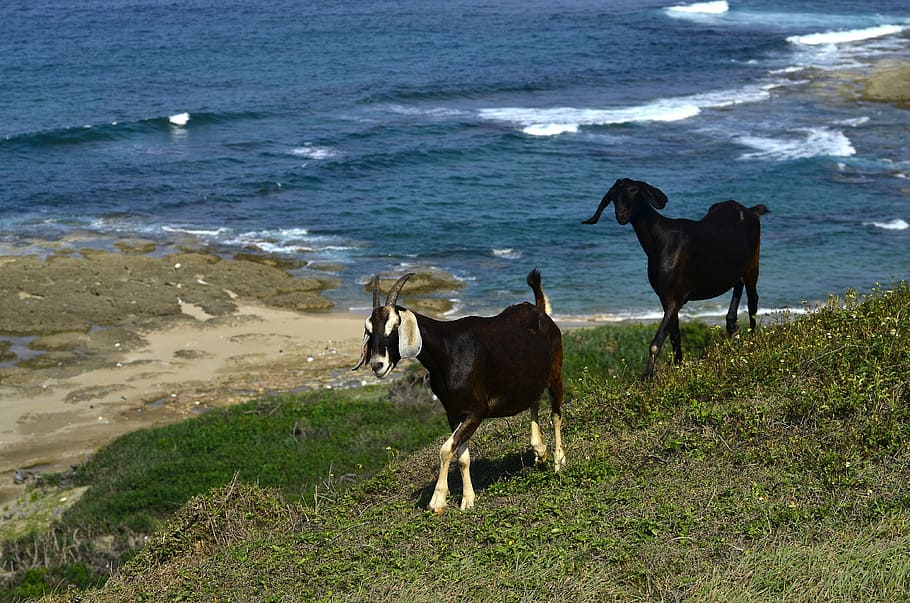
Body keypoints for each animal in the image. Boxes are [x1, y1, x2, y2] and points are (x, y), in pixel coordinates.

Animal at [353, 269, 565, 514]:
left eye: (395, 325)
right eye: (369, 330)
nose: (378, 365)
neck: (448, 352)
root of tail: (539, 311)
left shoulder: (476, 412)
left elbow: (446, 450)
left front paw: (437, 501)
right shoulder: (454, 414)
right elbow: (462, 457)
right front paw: (468, 499)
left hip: (555, 373)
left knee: (556, 414)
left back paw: (559, 461)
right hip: (530, 378)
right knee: (534, 402)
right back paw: (539, 451)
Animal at [582, 178, 769, 379]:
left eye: (635, 191)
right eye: (614, 195)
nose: (621, 214)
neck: (660, 242)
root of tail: (750, 211)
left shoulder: (675, 298)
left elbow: (656, 343)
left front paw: (647, 376)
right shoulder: (666, 298)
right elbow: (674, 336)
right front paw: (678, 365)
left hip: (752, 261)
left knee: (753, 299)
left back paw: (752, 340)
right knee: (738, 284)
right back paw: (732, 326)